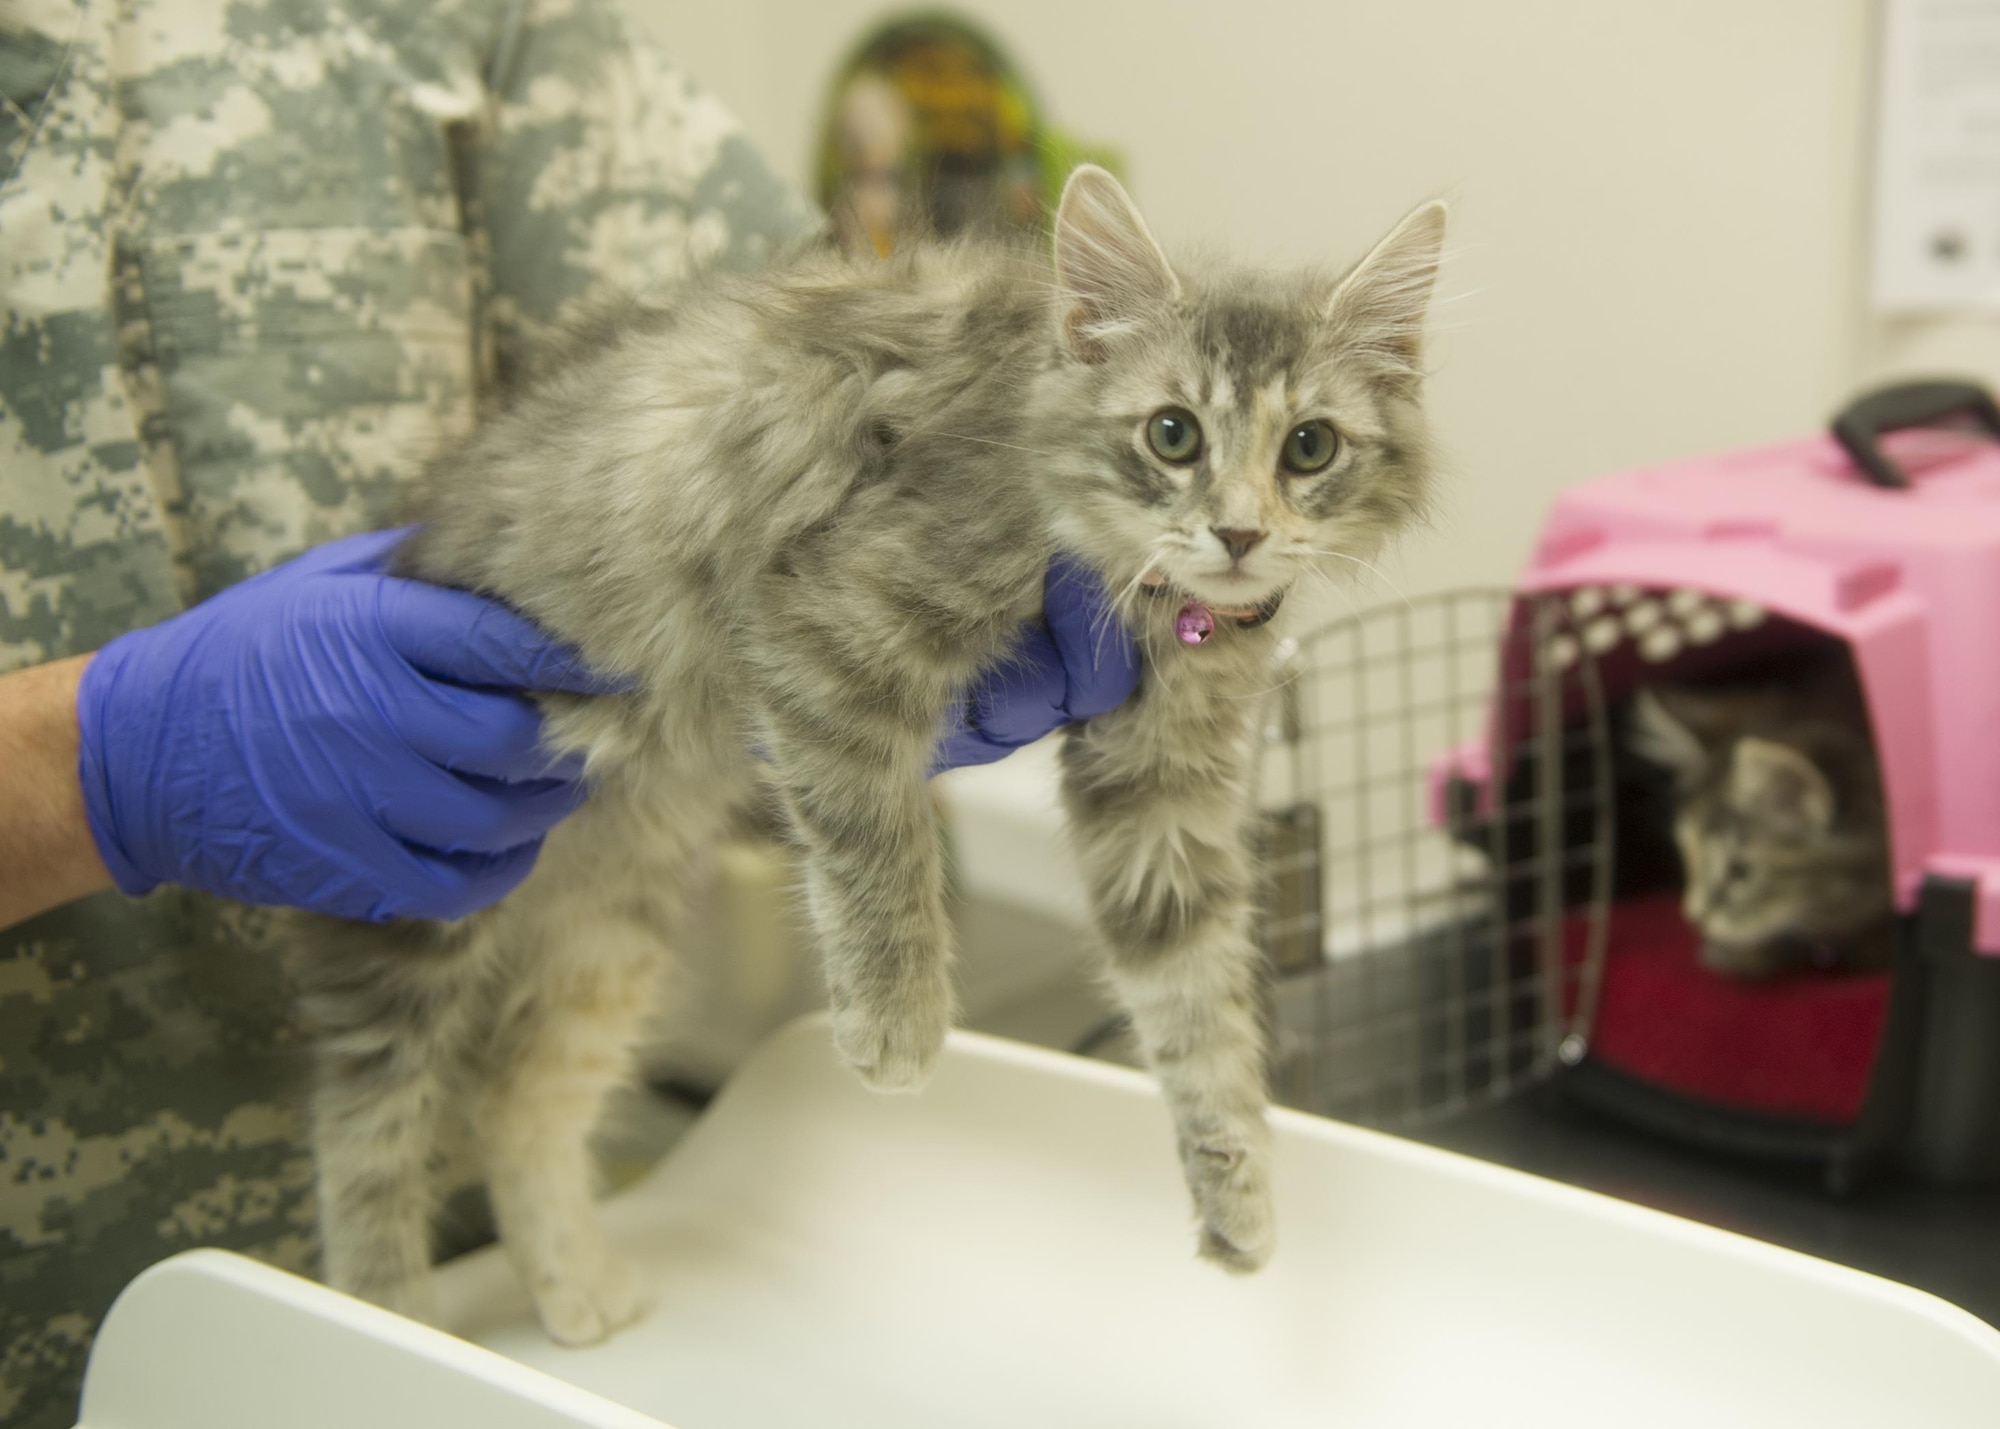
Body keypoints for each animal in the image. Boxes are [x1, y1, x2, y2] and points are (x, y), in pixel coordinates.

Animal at [296, 164, 1448, 1336]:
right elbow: (877, 850)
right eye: (1172, 434)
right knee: (367, 1122)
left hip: (611, 915)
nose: (1240, 534)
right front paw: (895, 1025)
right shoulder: (828, 629)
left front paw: (1239, 1194)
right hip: (428, 879)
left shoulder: (1162, 793)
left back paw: (574, 1289)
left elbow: (1197, 1004)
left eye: (1308, 446)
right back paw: (382, 1316)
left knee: (518, 1092)